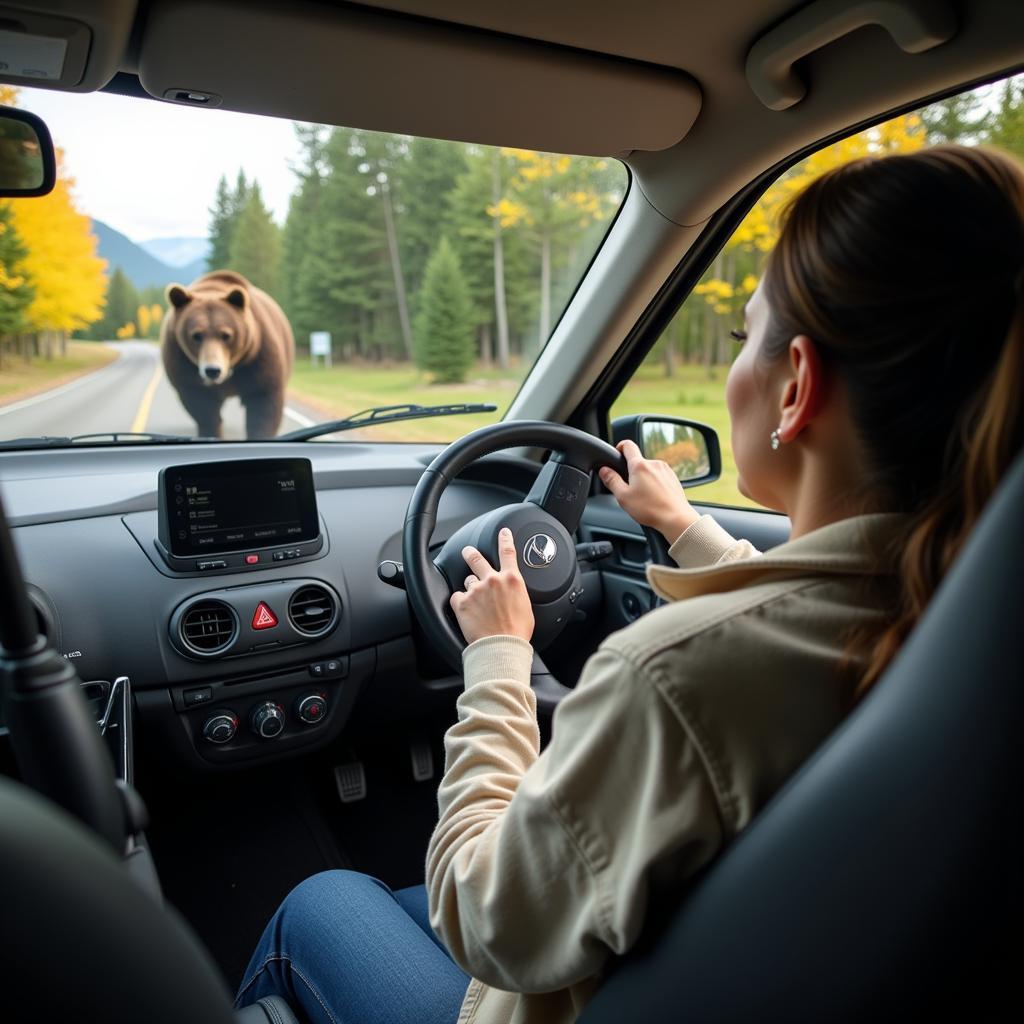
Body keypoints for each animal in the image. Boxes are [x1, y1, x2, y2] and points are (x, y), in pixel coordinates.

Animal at [160, 270, 296, 438]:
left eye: (226, 335)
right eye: (196, 335)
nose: (212, 370)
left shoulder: (258, 355)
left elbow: (263, 402)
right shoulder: (182, 363)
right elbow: (202, 406)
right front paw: (212, 431)